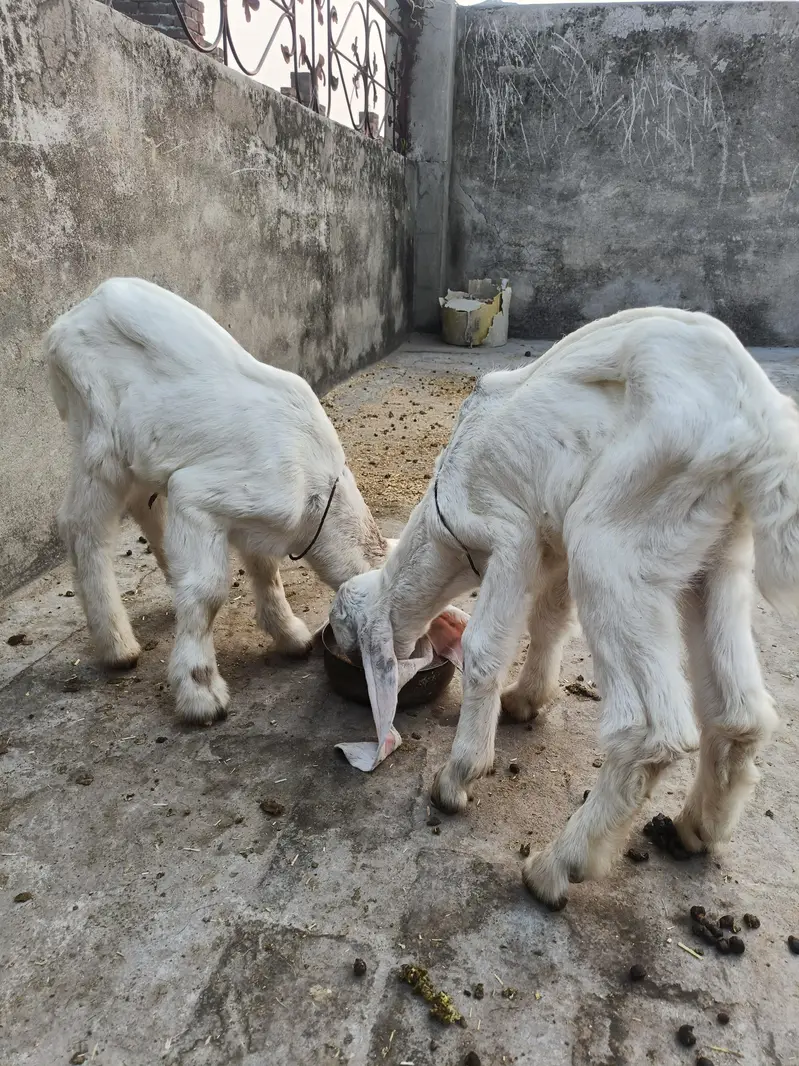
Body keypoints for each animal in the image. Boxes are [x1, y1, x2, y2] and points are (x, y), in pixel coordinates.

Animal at [47, 278, 389, 724]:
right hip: (98, 433)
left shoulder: (255, 518)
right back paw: (117, 645)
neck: (317, 490)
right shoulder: (201, 496)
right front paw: (200, 691)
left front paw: (289, 635)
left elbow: (265, 569)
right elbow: (208, 592)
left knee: (144, 503)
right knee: (81, 526)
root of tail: (70, 318)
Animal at [330, 307, 796, 908]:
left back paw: (555, 867)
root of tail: (763, 426)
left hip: (613, 539)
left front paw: (458, 777)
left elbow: (486, 648)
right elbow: (548, 619)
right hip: (717, 550)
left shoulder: (512, 535)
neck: (442, 527)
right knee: (741, 712)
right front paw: (527, 700)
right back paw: (697, 829)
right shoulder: (551, 544)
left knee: (653, 731)